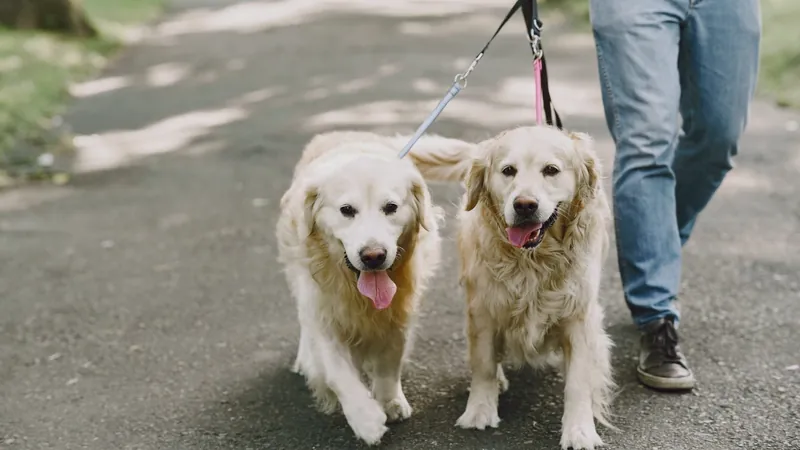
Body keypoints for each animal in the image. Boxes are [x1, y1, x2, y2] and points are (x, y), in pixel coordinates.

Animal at [276, 131, 468, 446]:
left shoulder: (399, 312)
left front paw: (390, 400)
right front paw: (364, 418)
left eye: (390, 207)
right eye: (346, 210)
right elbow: (338, 372)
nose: (374, 256)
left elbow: (390, 362)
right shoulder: (325, 313)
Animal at [416, 125, 616, 450]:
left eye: (551, 170)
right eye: (508, 170)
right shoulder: (483, 308)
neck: (533, 260)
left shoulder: (579, 315)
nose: (524, 205)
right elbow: (483, 362)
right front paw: (480, 410)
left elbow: (578, 381)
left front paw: (579, 430)